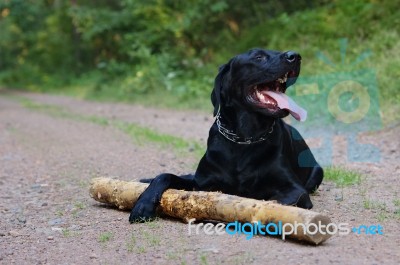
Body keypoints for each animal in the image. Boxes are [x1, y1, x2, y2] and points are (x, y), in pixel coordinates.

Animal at [130, 48, 324, 222]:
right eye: (258, 57)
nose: (295, 56)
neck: (245, 139)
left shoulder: (295, 190)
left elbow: (271, 202)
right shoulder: (201, 183)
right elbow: (164, 176)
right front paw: (143, 205)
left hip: (318, 172)